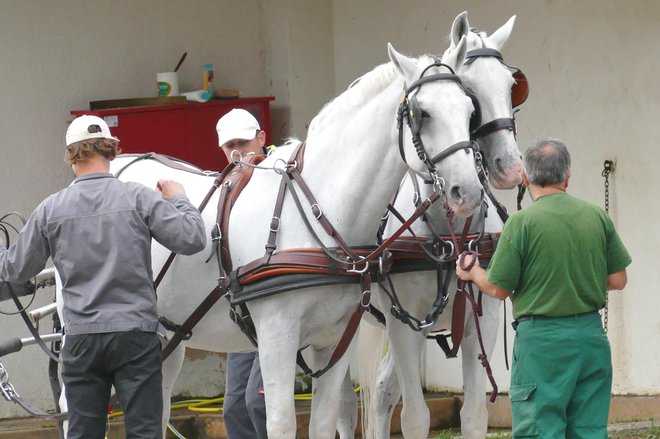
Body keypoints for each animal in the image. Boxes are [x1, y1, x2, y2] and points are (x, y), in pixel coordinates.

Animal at [58, 40, 484, 436]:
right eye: (422, 113)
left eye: (469, 110)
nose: (468, 192)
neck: (320, 215)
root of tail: (112, 164)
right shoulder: (277, 337)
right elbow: (279, 423)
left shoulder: (335, 338)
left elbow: (323, 422)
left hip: (167, 334)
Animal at [366, 12, 524, 438]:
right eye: (472, 93)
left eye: (511, 86)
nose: (511, 167)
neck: (448, 234)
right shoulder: (403, 326)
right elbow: (415, 417)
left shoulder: (480, 322)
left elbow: (474, 413)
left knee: (383, 390)